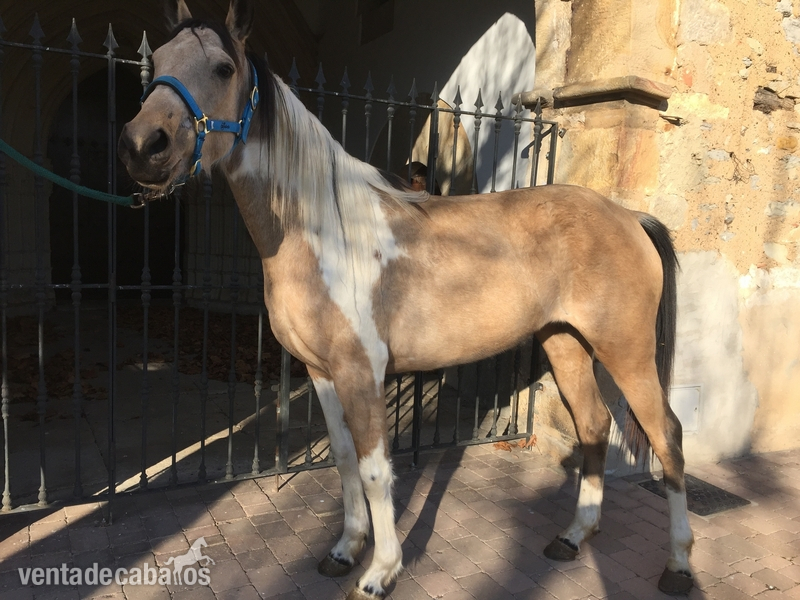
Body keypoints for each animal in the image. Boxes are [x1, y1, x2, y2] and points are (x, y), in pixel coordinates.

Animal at [118, 1, 694, 597]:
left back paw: (677, 565)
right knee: (594, 425)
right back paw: (574, 537)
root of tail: (628, 216)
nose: (142, 147)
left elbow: (375, 471)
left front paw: (380, 571)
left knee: (668, 435)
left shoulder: (362, 373)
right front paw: (345, 551)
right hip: (565, 343)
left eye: (223, 68)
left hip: (626, 350)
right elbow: (345, 460)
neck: (323, 231)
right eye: (159, 59)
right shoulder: (321, 373)